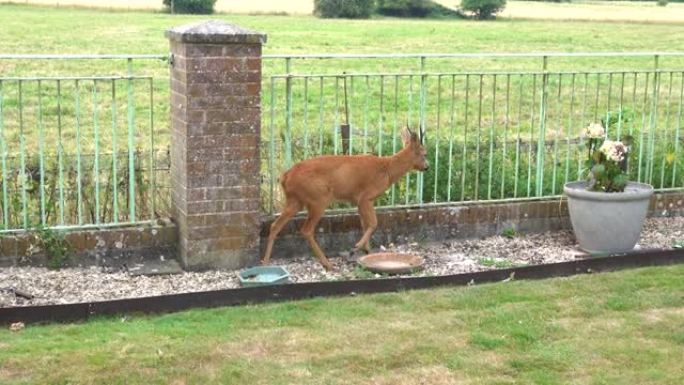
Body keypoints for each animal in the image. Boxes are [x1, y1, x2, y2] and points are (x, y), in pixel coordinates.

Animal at [262, 127, 428, 270]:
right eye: (424, 153)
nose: (427, 167)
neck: (387, 169)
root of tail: (285, 177)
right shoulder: (365, 197)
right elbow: (373, 223)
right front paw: (355, 248)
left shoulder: (359, 201)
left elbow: (364, 224)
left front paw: (367, 252)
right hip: (318, 198)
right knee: (306, 230)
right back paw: (327, 264)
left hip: (295, 200)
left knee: (275, 225)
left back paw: (265, 261)